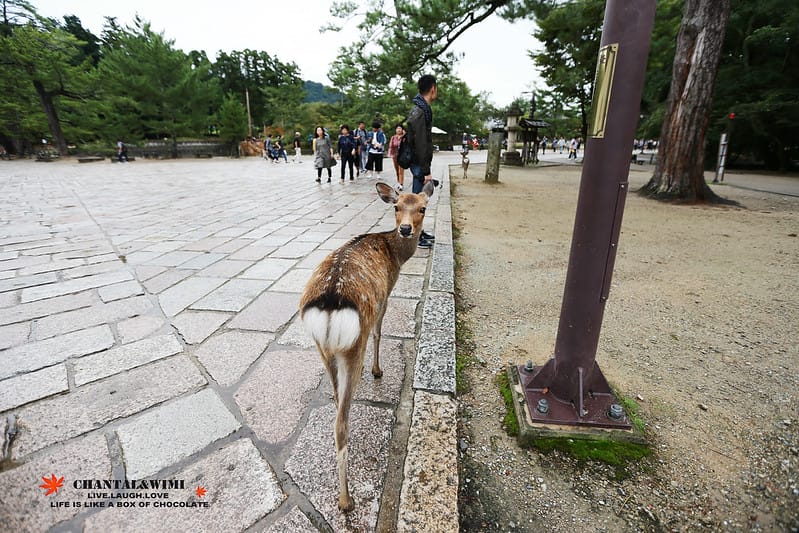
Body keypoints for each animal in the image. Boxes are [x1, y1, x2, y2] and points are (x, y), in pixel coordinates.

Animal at [299, 180, 436, 512]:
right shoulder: (385, 295)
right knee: (341, 424)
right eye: (396, 206)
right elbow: (380, 331)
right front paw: (378, 370)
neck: (395, 254)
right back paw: (346, 501)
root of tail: (329, 305)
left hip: (323, 349)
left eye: (422, 208)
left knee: (337, 402)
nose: (405, 229)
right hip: (353, 346)